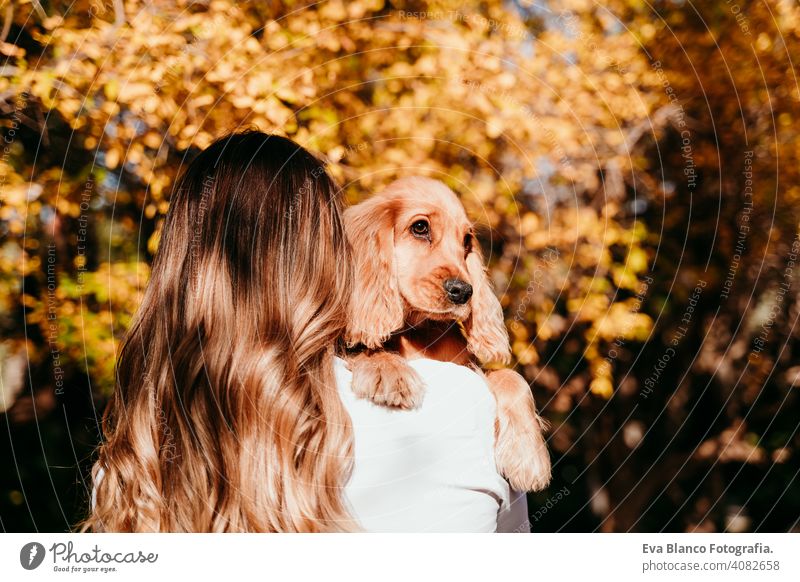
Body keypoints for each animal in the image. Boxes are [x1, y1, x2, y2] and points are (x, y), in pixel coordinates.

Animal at [344, 177, 552, 492]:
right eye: (420, 227)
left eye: (466, 241)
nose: (464, 292)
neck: (418, 330)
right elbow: (362, 348)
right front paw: (389, 371)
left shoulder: (468, 367)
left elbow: (511, 377)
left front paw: (527, 455)